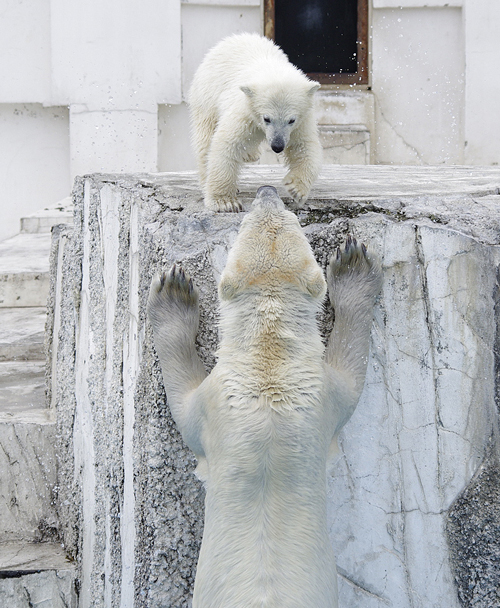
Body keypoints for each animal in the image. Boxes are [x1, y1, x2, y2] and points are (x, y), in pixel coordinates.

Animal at [146, 186, 380, 608]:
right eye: (255, 219)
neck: (268, 368)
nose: (267, 191)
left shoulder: (228, 401)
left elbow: (184, 405)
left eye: (285, 217)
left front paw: (173, 293)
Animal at [189, 34, 322, 214]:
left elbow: (304, 146)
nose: (277, 146)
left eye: (291, 120)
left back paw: (250, 154)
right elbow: (227, 143)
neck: (272, 69)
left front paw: (296, 188)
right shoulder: (245, 111)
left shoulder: (302, 121)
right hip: (207, 96)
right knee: (205, 138)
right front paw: (225, 202)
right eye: (267, 118)